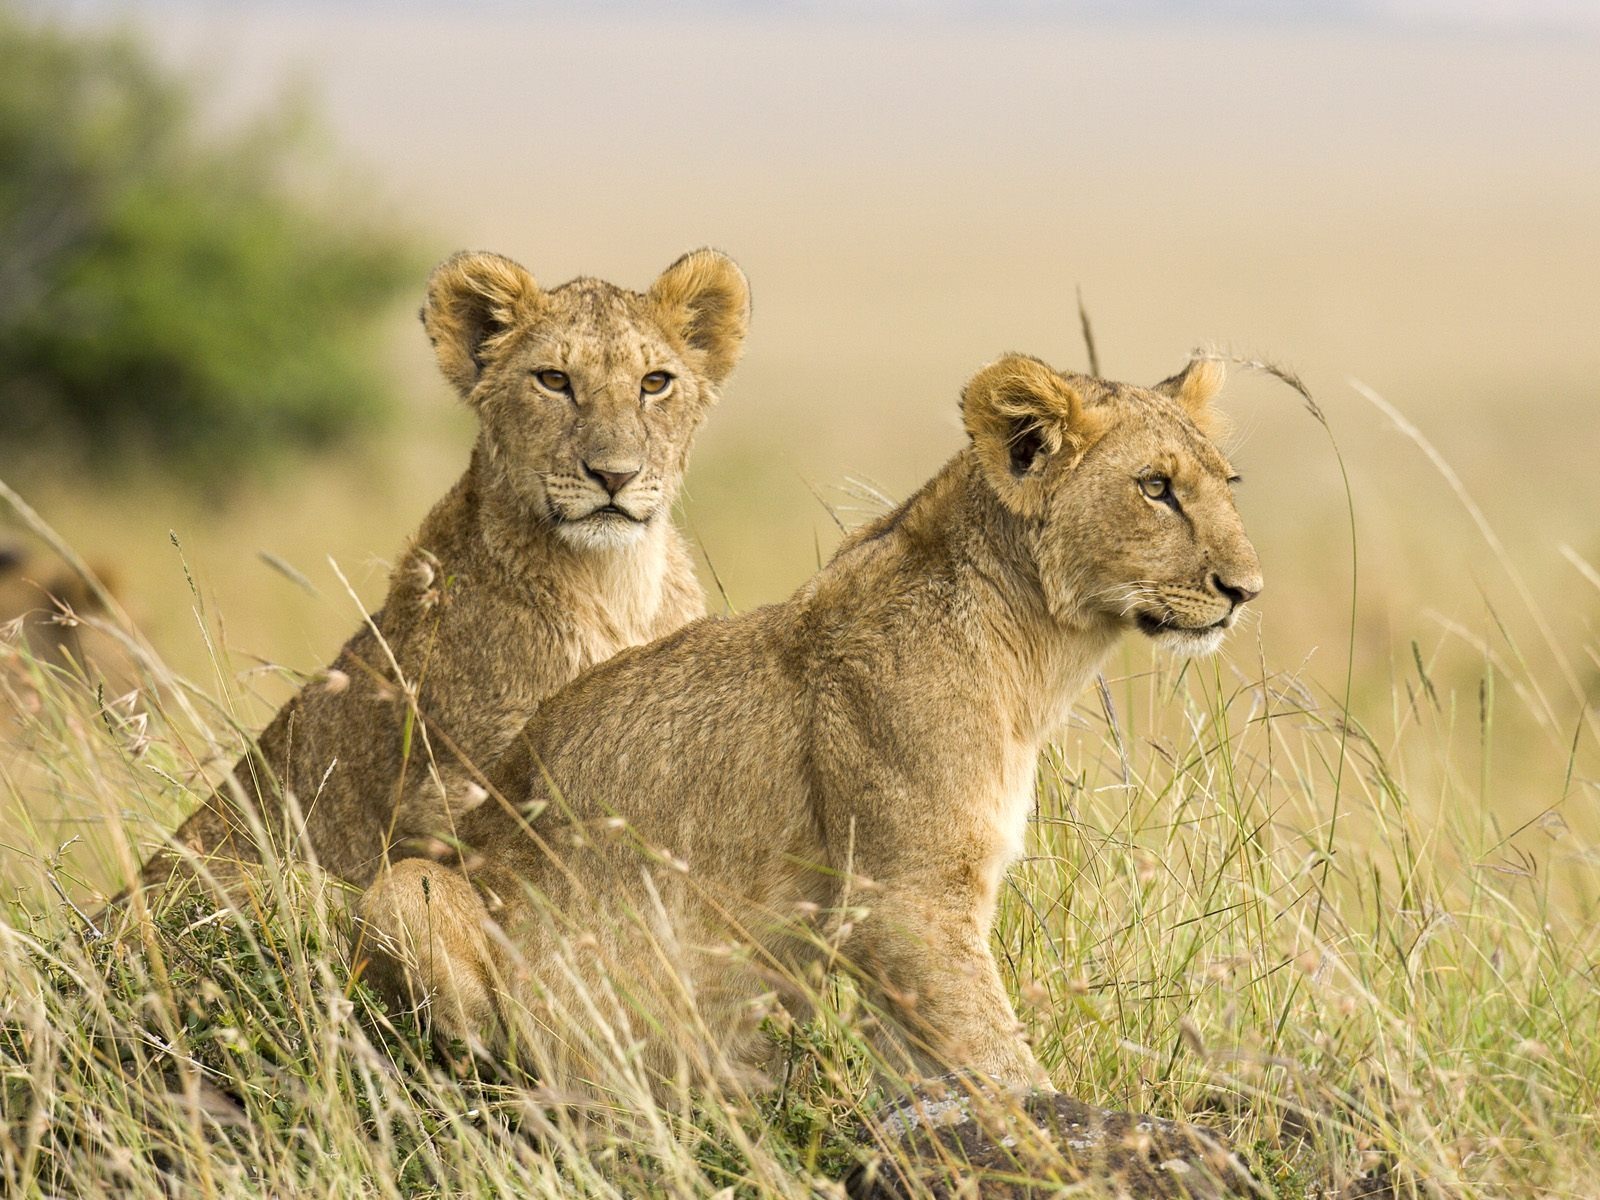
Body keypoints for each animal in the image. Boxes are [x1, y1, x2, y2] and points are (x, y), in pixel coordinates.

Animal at [356, 352, 1254, 1107]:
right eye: (1155, 487)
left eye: (1227, 482)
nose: (1246, 589)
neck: (1037, 655)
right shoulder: (905, 897)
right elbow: (998, 1058)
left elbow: (925, 1058)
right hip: (407, 888)